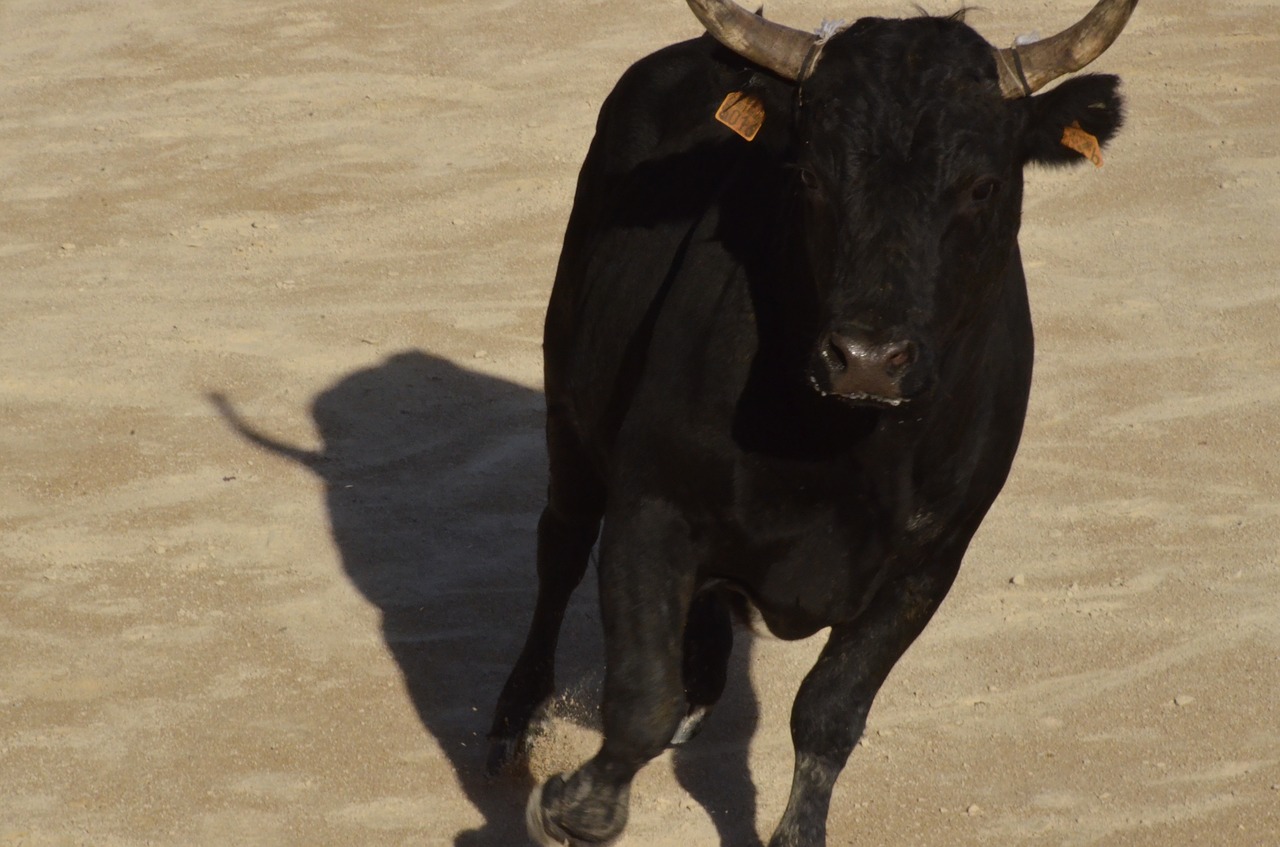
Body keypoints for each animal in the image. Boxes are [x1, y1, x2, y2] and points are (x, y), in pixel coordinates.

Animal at [488, 8, 1131, 847]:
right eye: (810, 176)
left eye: (983, 185)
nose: (867, 360)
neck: (841, 450)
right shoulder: (650, 510)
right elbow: (640, 695)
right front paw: (575, 807)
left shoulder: (929, 561)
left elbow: (829, 711)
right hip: (567, 405)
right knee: (559, 548)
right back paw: (511, 723)